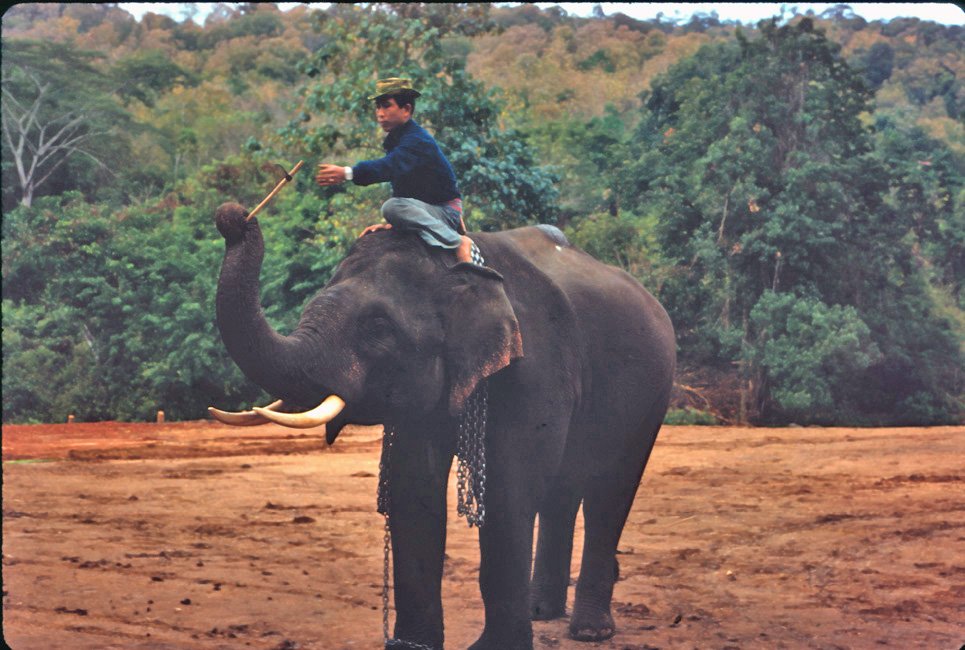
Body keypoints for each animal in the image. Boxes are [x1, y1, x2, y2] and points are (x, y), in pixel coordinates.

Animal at [209, 202, 676, 650]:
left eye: (378, 326)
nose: (233, 217)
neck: (456, 269)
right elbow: (414, 487)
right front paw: (410, 644)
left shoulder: (535, 366)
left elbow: (509, 490)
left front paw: (491, 648)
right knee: (565, 487)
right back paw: (542, 612)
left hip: (654, 392)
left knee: (610, 489)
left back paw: (590, 631)